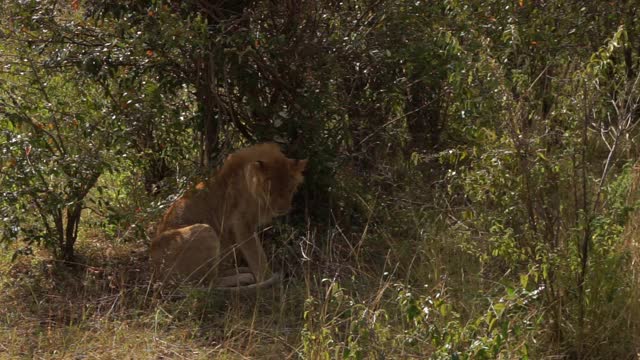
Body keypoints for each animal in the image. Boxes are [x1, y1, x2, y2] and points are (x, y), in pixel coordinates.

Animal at [151, 142, 308, 292]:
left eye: (290, 189)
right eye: (270, 191)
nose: (282, 209)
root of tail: (157, 277)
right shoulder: (241, 223)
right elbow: (256, 255)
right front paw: (268, 279)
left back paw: (241, 270)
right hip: (205, 230)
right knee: (209, 283)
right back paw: (245, 277)